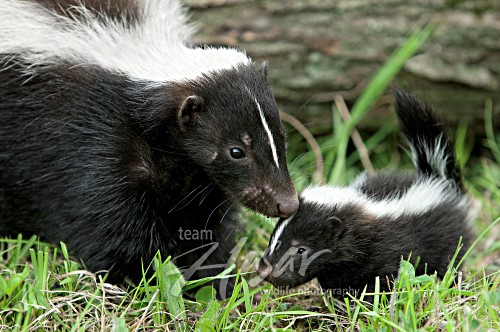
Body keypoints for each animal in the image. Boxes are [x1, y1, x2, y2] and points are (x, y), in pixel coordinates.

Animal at [0, 0, 296, 290]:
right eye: (236, 151)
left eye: (281, 137)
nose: (288, 204)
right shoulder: (96, 138)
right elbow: (110, 224)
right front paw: (134, 279)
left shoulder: (201, 177)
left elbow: (205, 223)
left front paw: (213, 278)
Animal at [260, 89, 474, 296]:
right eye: (273, 237)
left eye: (301, 249)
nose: (264, 270)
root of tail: (438, 176)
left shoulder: (388, 250)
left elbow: (382, 280)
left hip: (448, 239)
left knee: (450, 263)